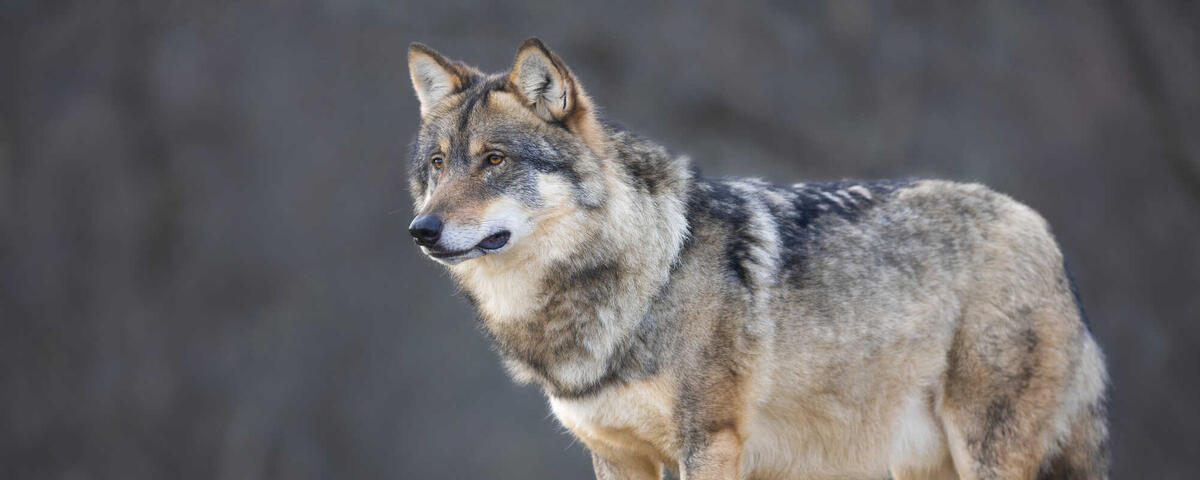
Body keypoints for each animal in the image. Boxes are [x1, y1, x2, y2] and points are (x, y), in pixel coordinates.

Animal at [403, 38, 1109, 480]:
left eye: (494, 160)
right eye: (438, 164)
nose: (421, 230)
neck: (648, 272)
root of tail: (1041, 230)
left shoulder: (711, 444)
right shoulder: (618, 457)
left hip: (984, 450)